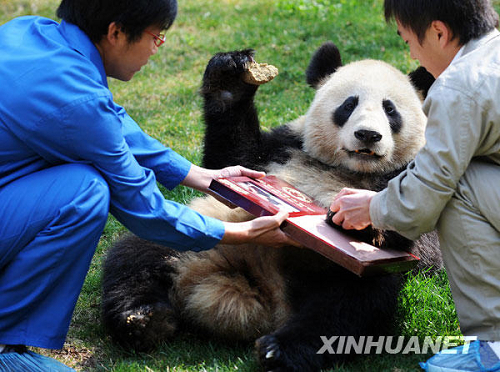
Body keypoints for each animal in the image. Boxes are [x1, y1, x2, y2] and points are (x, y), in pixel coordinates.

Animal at [101, 42, 442, 370]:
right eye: (349, 105)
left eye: (390, 110)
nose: (368, 135)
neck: (352, 170)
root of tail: (262, 296)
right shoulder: (283, 146)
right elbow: (231, 158)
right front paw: (231, 77)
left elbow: (418, 237)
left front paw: (354, 217)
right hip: (201, 233)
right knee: (137, 256)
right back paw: (145, 319)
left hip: (346, 267)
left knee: (350, 304)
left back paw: (279, 350)